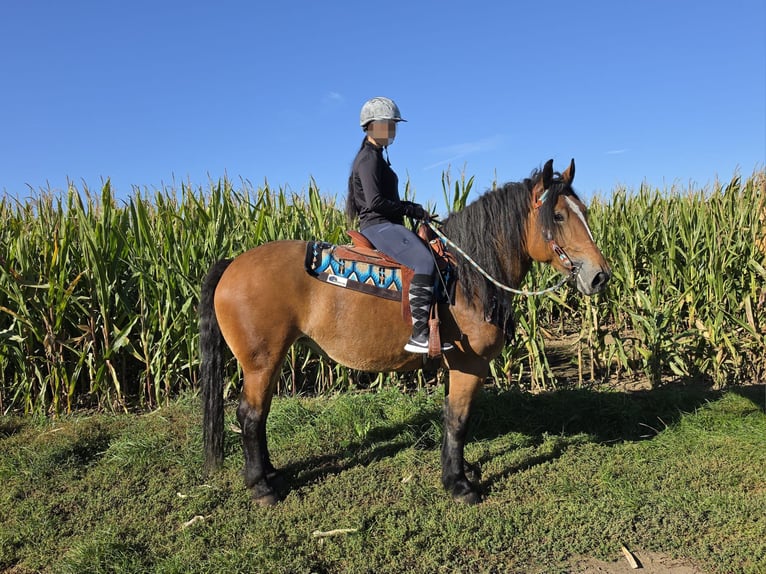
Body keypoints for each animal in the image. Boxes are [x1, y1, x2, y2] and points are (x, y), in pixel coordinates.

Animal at [200, 158, 610, 505]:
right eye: (558, 215)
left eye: (585, 213)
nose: (600, 275)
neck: (467, 277)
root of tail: (232, 263)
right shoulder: (470, 365)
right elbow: (458, 420)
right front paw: (459, 485)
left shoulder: (455, 365)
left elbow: (450, 416)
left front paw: (460, 470)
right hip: (260, 361)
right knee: (250, 415)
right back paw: (262, 487)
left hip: (271, 360)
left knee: (260, 414)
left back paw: (272, 474)